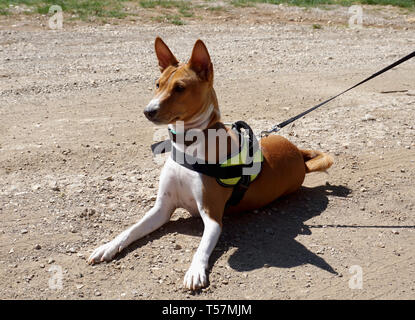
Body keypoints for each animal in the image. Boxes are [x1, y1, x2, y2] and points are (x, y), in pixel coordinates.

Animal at [88, 37, 334, 290]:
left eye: (179, 88)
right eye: (157, 84)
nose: (148, 111)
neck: (189, 146)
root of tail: (298, 153)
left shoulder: (212, 217)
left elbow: (202, 248)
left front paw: (195, 271)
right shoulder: (162, 209)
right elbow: (131, 230)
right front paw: (108, 246)